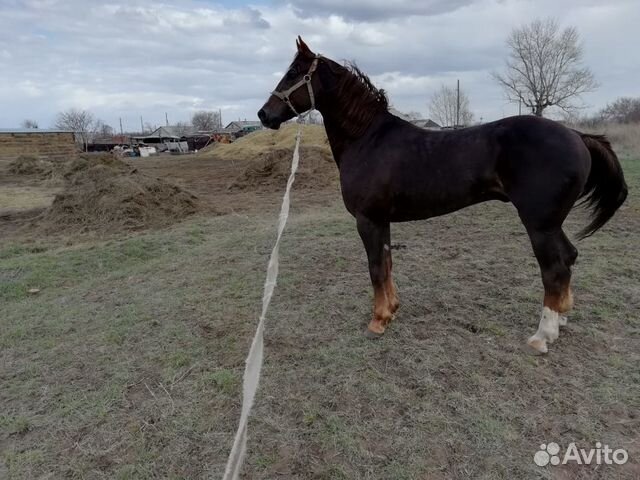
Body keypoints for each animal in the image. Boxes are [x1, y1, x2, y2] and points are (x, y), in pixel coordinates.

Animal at [257, 37, 628, 354]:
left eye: (294, 72)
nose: (264, 114)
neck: (368, 139)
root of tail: (577, 135)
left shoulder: (368, 220)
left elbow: (376, 267)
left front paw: (378, 321)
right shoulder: (382, 220)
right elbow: (388, 264)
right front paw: (392, 310)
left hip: (539, 224)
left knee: (555, 267)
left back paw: (542, 336)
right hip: (551, 223)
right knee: (570, 257)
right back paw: (561, 318)